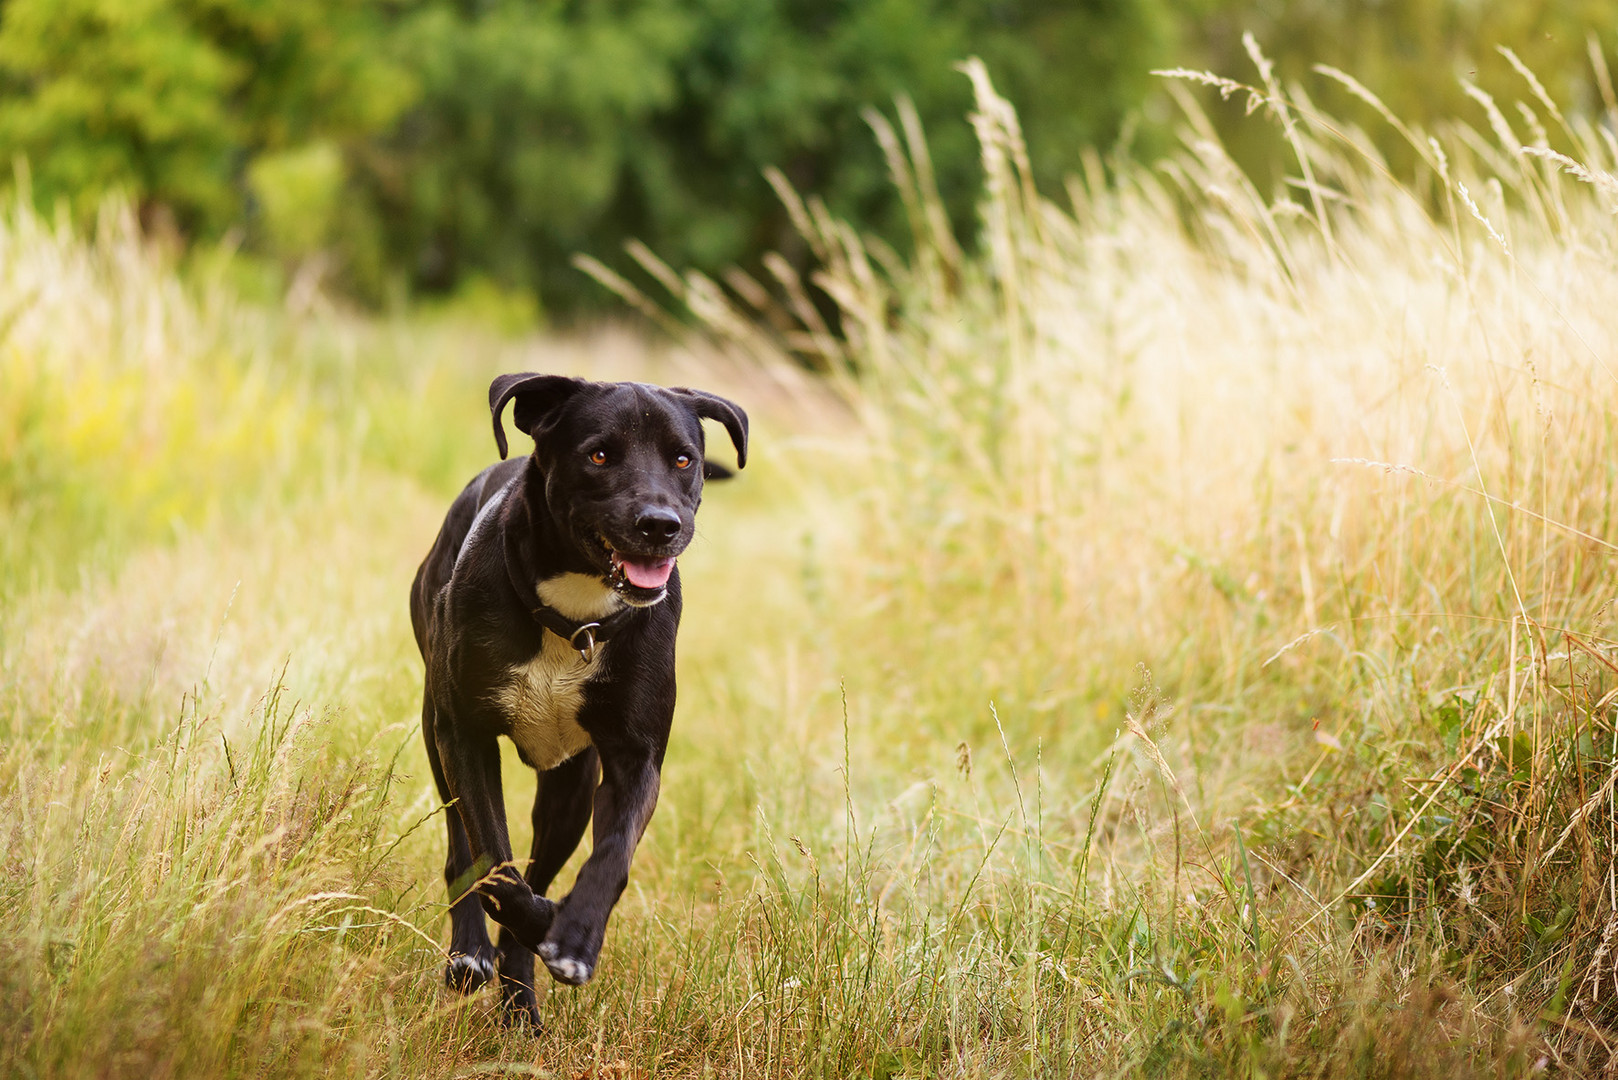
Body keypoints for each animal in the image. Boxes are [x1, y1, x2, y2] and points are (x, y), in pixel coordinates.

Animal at [414, 375, 747, 1029]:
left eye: (682, 460)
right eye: (598, 455)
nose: (660, 524)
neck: (576, 619)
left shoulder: (634, 760)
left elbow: (611, 856)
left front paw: (573, 938)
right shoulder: (464, 734)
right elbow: (493, 863)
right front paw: (541, 927)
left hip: (567, 788)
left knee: (541, 865)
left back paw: (521, 1006)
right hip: (437, 731)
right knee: (464, 848)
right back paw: (473, 952)